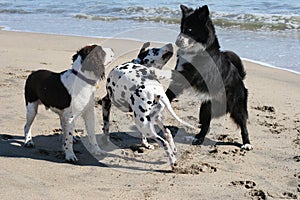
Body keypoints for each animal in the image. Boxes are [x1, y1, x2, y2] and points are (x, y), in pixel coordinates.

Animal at [165, 4, 252, 150]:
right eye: (181, 28)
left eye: (190, 29)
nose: (177, 42)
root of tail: (241, 79)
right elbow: (169, 91)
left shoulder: (190, 75)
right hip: (206, 108)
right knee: (205, 126)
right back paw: (195, 138)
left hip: (236, 107)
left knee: (243, 125)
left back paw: (247, 144)